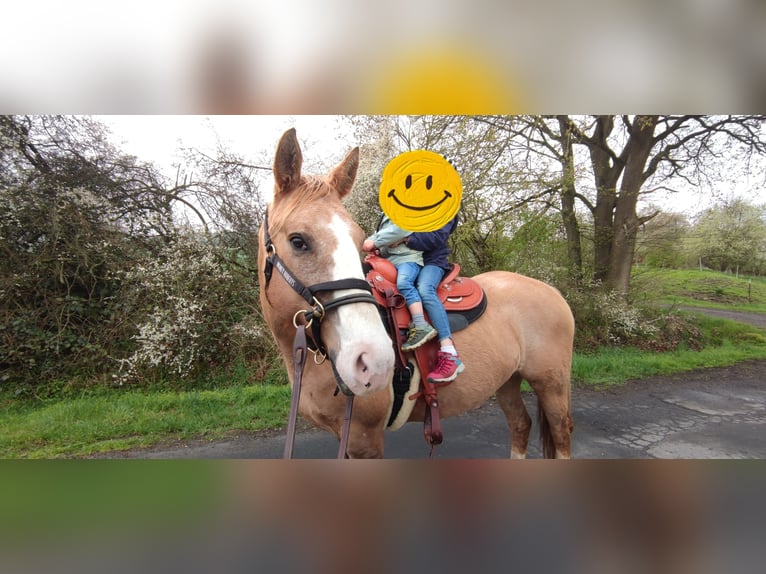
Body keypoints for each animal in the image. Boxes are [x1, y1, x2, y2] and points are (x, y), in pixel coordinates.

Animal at [260, 129, 576, 460]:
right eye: (298, 241)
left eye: (359, 241)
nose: (373, 361)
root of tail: (551, 291)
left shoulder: (363, 439)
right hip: (508, 380)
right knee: (520, 424)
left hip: (551, 385)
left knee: (560, 432)